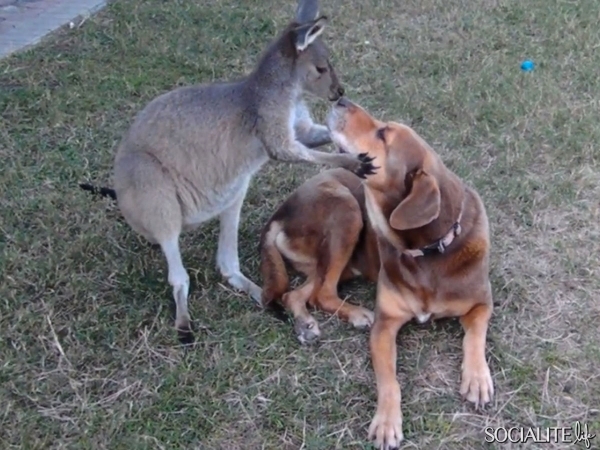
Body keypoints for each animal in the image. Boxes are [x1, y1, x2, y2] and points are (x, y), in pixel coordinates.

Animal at [260, 97, 494, 446]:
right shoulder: (385, 326)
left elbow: (475, 336)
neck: (431, 248)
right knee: (322, 293)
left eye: (383, 134)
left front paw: (477, 377)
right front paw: (386, 423)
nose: (340, 99)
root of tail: (279, 213)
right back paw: (355, 314)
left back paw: (305, 324)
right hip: (346, 209)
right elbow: (389, 382)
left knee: (300, 293)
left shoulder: (482, 303)